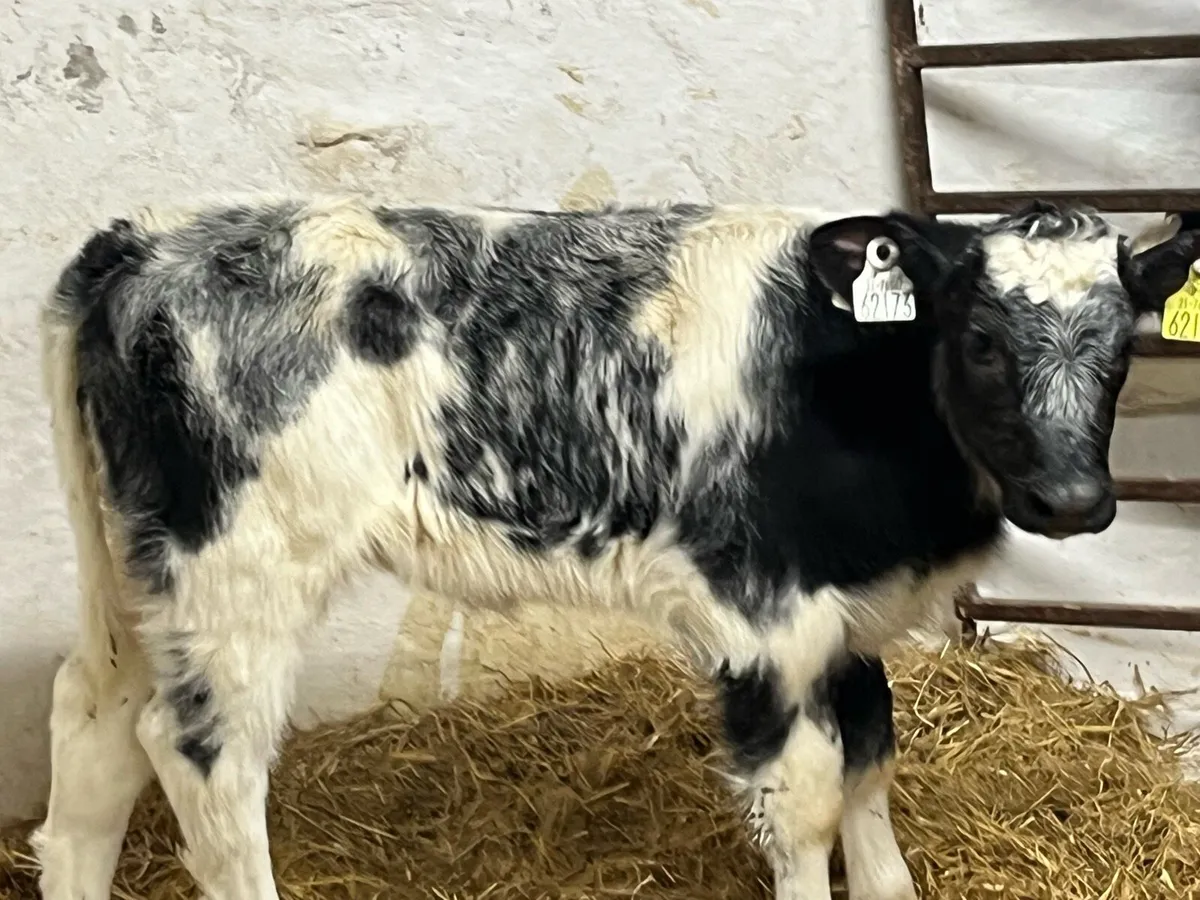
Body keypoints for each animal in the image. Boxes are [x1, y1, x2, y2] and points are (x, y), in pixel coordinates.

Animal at [30, 195, 1200, 900]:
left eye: (1125, 346)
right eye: (979, 336)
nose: (1070, 500)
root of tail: (141, 240)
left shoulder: (850, 618)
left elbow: (871, 766)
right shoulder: (762, 616)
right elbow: (807, 803)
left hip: (141, 575)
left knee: (94, 721)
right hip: (241, 572)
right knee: (204, 765)